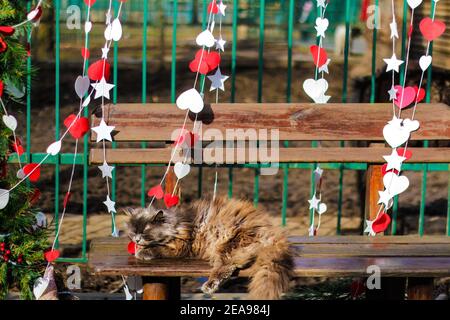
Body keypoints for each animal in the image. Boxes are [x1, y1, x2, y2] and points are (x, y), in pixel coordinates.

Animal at [125, 198, 294, 300]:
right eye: (133, 231)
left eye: (144, 232)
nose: (137, 239)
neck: (177, 223)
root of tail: (273, 234)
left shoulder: (181, 247)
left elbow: (158, 249)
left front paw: (142, 251)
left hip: (226, 247)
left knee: (225, 268)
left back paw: (209, 286)